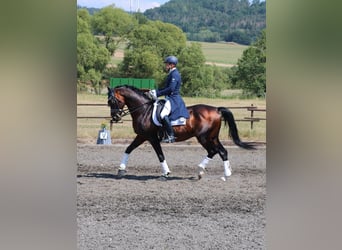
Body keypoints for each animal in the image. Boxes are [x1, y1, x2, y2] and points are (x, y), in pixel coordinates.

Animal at [107, 85, 254, 181]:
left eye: (113, 101)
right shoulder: (142, 136)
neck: (144, 110)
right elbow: (128, 149)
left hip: (204, 137)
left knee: (215, 151)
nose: (115, 118)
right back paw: (215, 173)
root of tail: (216, 109)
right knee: (221, 151)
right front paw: (120, 170)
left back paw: (210, 172)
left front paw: (165, 173)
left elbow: (160, 155)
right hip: (212, 137)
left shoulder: (152, 138)